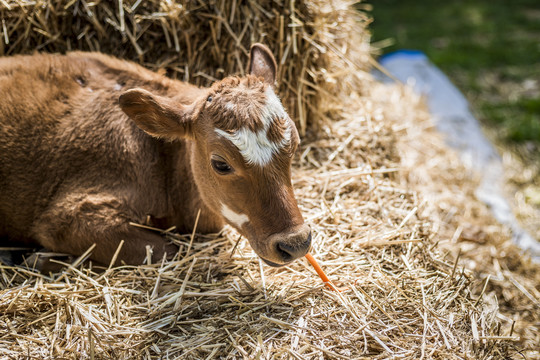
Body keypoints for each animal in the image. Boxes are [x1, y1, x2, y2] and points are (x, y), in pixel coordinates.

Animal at [0, 43, 310, 266]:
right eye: (220, 164)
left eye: (294, 144)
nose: (295, 243)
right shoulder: (66, 216)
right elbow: (165, 249)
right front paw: (40, 259)